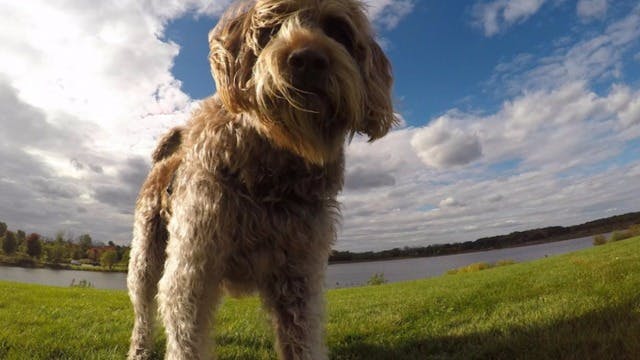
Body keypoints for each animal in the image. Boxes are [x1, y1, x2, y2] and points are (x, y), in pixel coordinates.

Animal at [125, 1, 396, 358]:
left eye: (338, 30)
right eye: (271, 27)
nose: (308, 59)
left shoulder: (299, 275)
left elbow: (301, 340)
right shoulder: (192, 270)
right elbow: (185, 339)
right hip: (144, 259)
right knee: (143, 311)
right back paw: (139, 349)